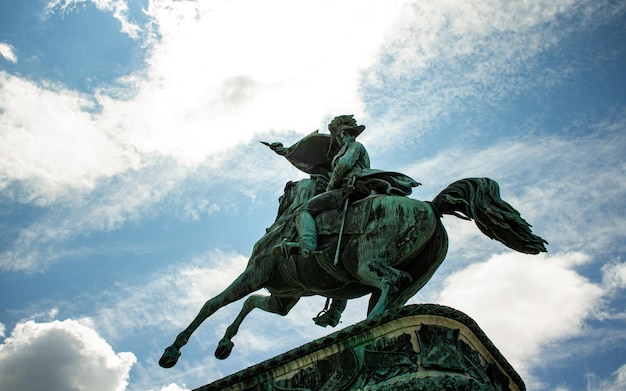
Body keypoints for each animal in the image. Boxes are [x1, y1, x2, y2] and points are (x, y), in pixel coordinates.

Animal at [158, 178, 544, 368]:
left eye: (281, 200)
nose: (274, 220)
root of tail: (430, 206)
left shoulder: (255, 273)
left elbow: (213, 303)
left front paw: (174, 350)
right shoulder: (285, 297)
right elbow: (250, 304)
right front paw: (224, 344)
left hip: (366, 262)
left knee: (393, 281)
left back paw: (367, 330)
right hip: (411, 273)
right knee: (394, 295)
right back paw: (366, 326)